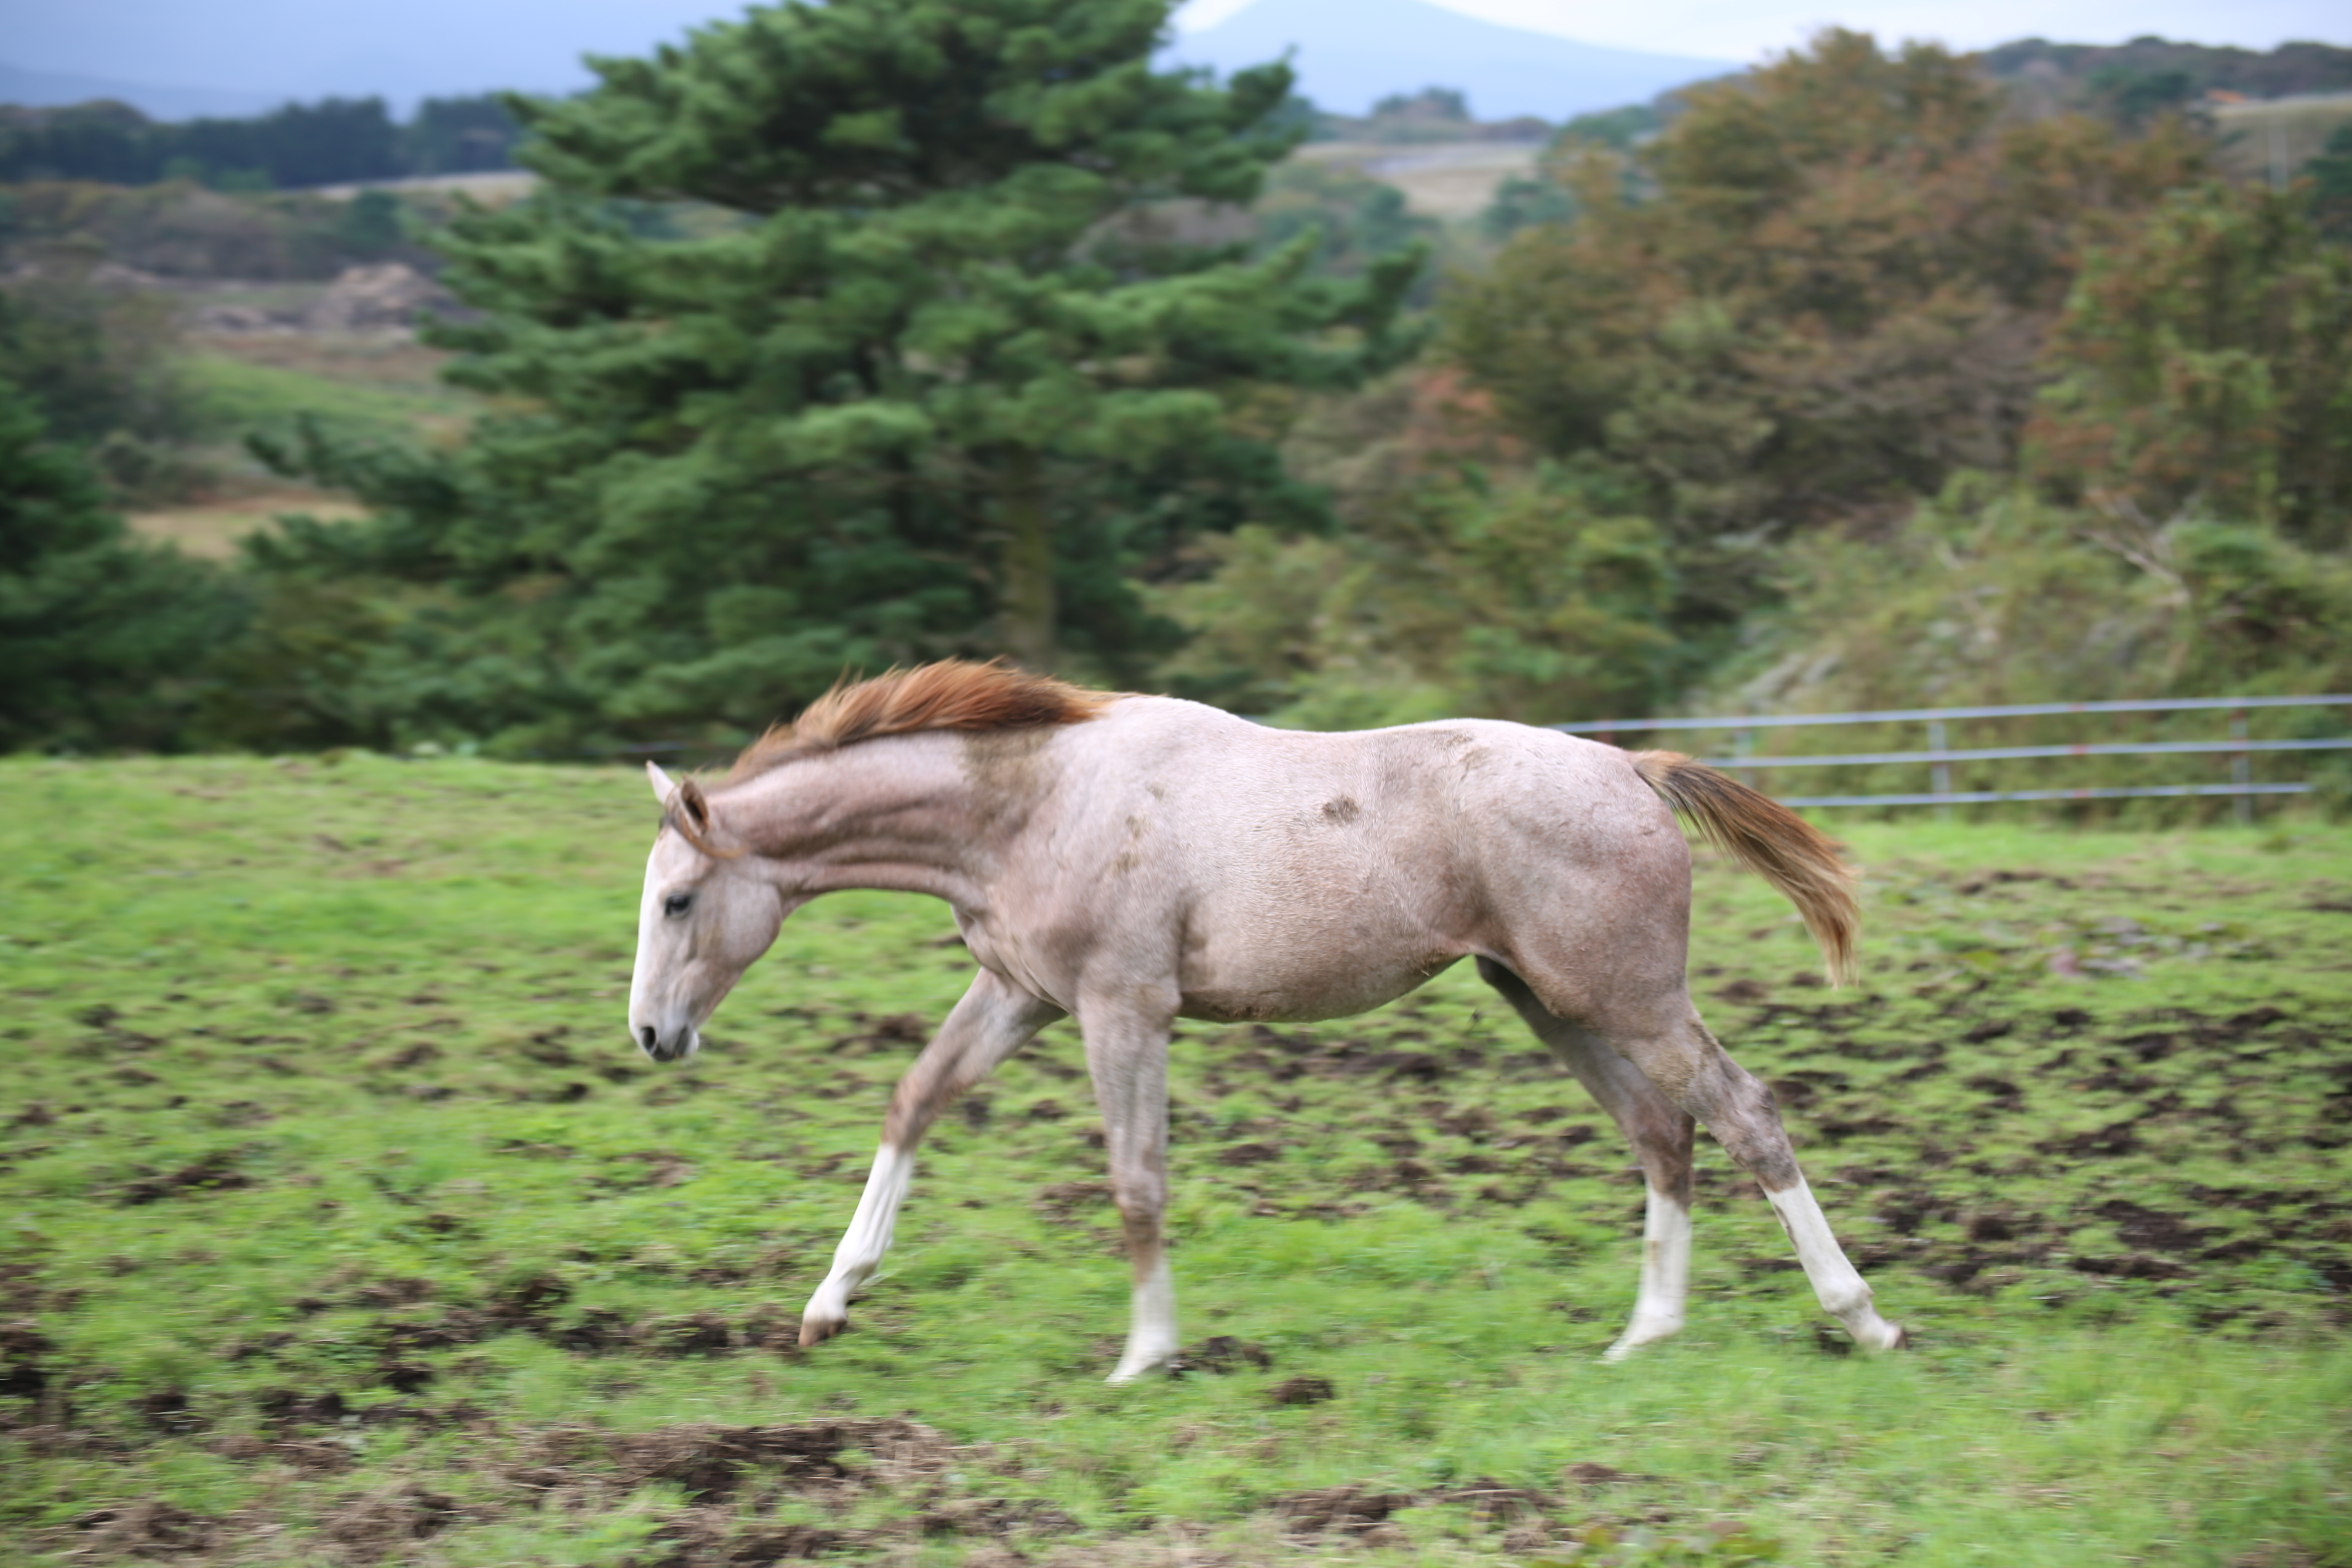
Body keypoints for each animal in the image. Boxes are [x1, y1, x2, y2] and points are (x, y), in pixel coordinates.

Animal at [621, 663, 1891, 1382]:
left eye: (678, 899)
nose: (650, 1037)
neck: (1033, 804)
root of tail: (1632, 771)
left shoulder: (1122, 1009)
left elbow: (1136, 1181)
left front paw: (1145, 1356)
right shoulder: (1022, 994)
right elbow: (914, 1100)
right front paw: (829, 1304)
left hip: (1626, 996)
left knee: (1742, 1113)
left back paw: (1860, 1320)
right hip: (1549, 1002)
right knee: (1660, 1131)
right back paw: (1645, 1337)